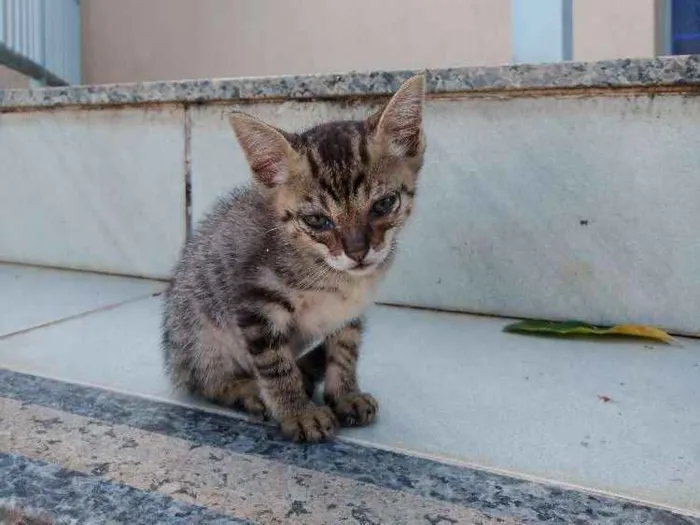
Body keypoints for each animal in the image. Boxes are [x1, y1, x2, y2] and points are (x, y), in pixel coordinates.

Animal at [163, 74, 426, 442]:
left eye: (384, 204)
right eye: (317, 220)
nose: (357, 252)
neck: (335, 276)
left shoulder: (349, 313)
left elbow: (345, 349)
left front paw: (345, 394)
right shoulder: (255, 305)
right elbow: (275, 366)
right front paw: (298, 412)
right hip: (201, 335)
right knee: (207, 382)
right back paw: (248, 391)